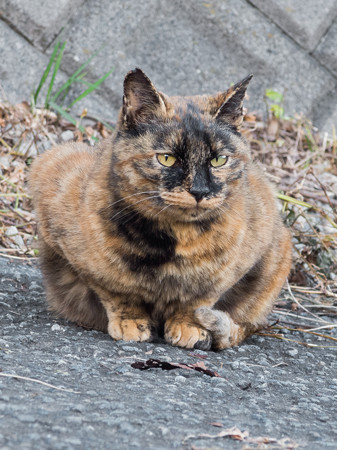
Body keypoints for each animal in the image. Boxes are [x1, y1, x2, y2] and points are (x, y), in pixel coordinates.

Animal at [29, 68, 292, 352]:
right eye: (167, 158)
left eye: (218, 159)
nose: (199, 191)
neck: (175, 243)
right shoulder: (53, 183)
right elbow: (115, 290)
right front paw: (131, 321)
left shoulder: (240, 261)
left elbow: (199, 299)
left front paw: (189, 326)